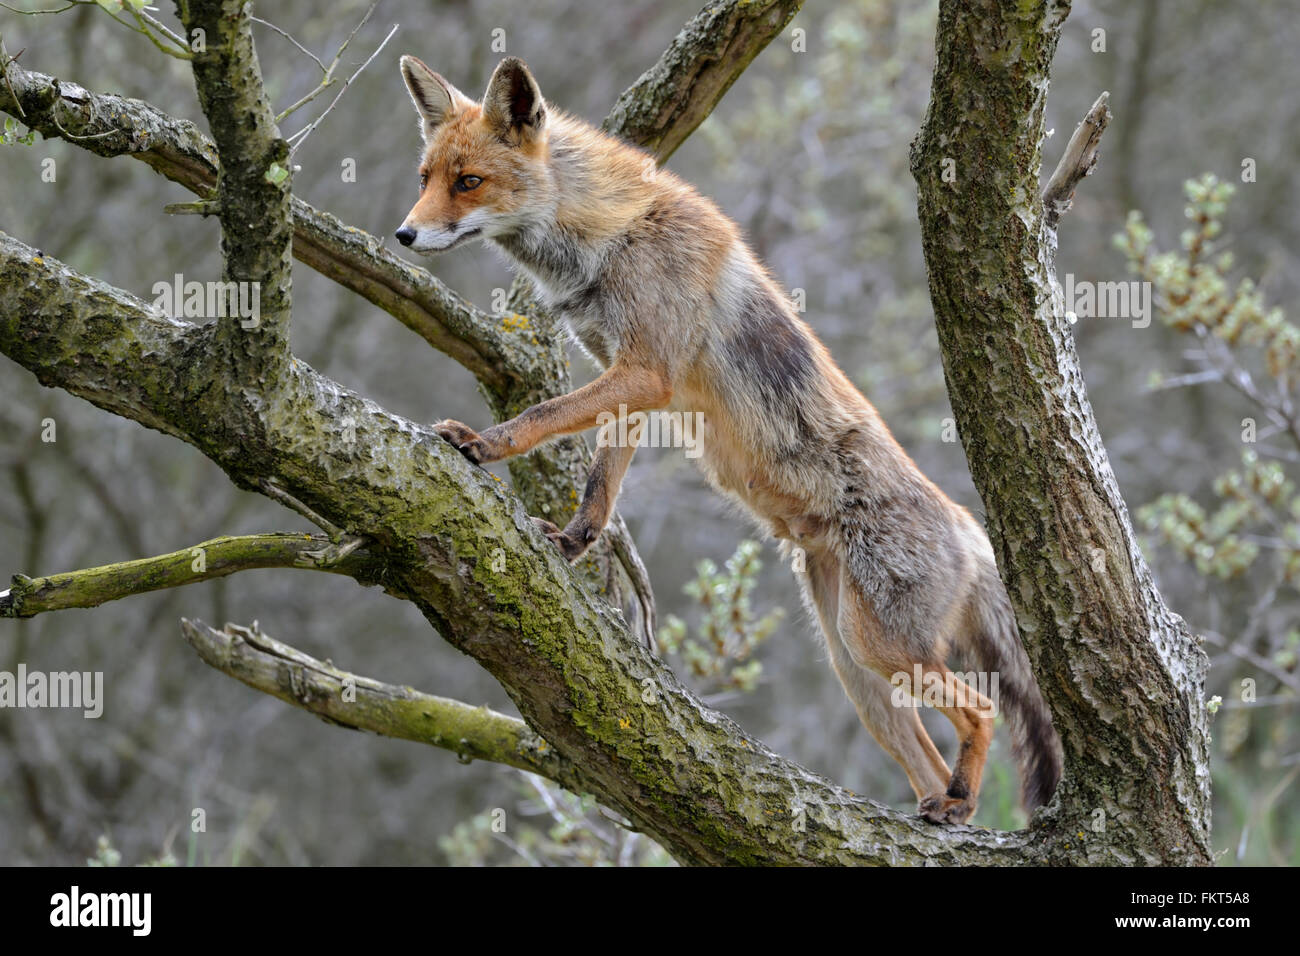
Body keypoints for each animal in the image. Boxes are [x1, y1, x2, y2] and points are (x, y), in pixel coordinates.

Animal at [392, 55, 1055, 827]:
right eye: (424, 177)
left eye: (469, 182)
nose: (404, 235)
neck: (607, 238)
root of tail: (970, 528)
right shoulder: (627, 381)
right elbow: (601, 484)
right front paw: (575, 541)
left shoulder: (645, 372)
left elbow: (542, 414)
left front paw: (483, 445)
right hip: (856, 669)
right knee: (925, 752)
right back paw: (937, 808)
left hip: (881, 646)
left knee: (981, 711)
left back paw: (959, 800)